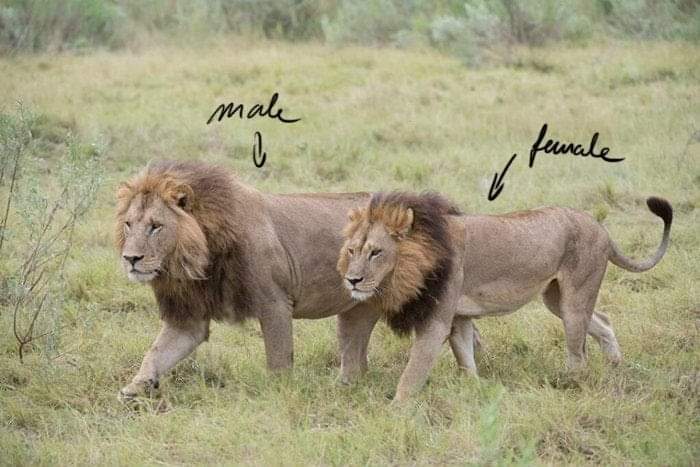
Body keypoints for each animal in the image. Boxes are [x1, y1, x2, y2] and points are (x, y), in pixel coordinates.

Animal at [116, 160, 382, 399]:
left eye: (155, 226)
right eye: (128, 224)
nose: (130, 258)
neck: (200, 259)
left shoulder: (275, 303)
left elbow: (278, 359)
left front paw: (279, 394)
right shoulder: (188, 317)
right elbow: (156, 352)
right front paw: (135, 388)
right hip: (357, 311)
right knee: (355, 362)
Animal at [337, 192, 672, 401]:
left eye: (376, 253)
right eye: (352, 250)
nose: (352, 280)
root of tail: (601, 227)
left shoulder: (436, 323)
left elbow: (412, 373)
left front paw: (395, 409)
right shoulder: (459, 317)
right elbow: (465, 358)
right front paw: (475, 390)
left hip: (576, 298)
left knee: (578, 355)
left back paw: (567, 383)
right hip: (556, 299)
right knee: (603, 321)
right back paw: (616, 365)